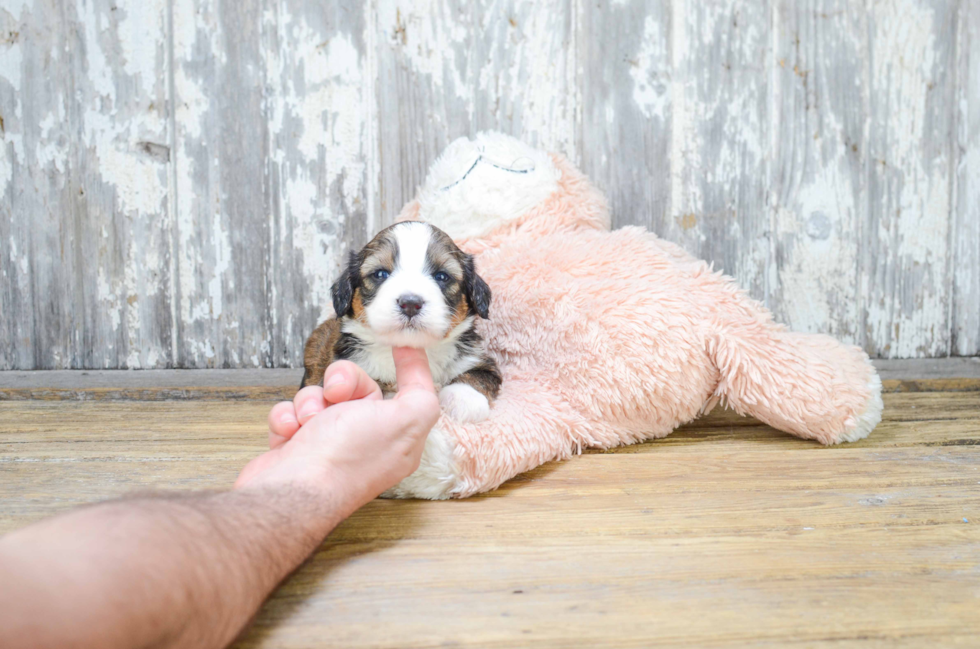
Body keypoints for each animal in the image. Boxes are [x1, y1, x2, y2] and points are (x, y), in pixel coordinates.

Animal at [300, 221, 502, 426]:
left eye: (442, 276)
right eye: (380, 274)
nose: (410, 303)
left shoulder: (481, 361)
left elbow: (475, 376)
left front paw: (465, 400)